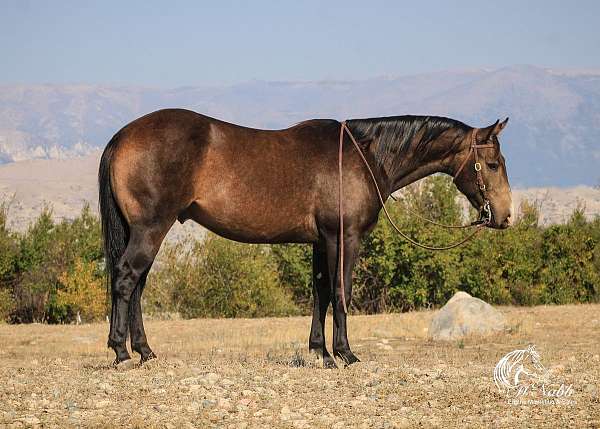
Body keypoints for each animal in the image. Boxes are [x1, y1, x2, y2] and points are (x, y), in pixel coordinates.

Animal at [97, 108, 510, 366]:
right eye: (492, 164)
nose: (505, 216)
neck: (362, 156)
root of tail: (122, 135)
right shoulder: (344, 237)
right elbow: (341, 292)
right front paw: (345, 354)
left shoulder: (320, 241)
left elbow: (321, 292)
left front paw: (321, 353)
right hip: (151, 228)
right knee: (127, 278)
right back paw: (121, 352)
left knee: (137, 285)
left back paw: (144, 351)